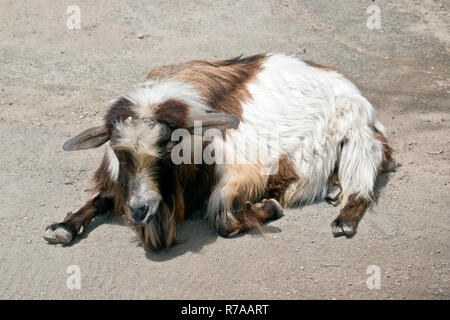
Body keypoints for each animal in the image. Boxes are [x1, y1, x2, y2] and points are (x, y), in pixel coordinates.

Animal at [44, 53, 392, 251]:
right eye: (119, 152)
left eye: (168, 148)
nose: (140, 211)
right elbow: (102, 197)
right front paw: (62, 227)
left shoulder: (240, 174)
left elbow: (224, 220)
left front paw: (270, 207)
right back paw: (333, 189)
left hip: (358, 135)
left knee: (361, 184)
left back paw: (344, 219)